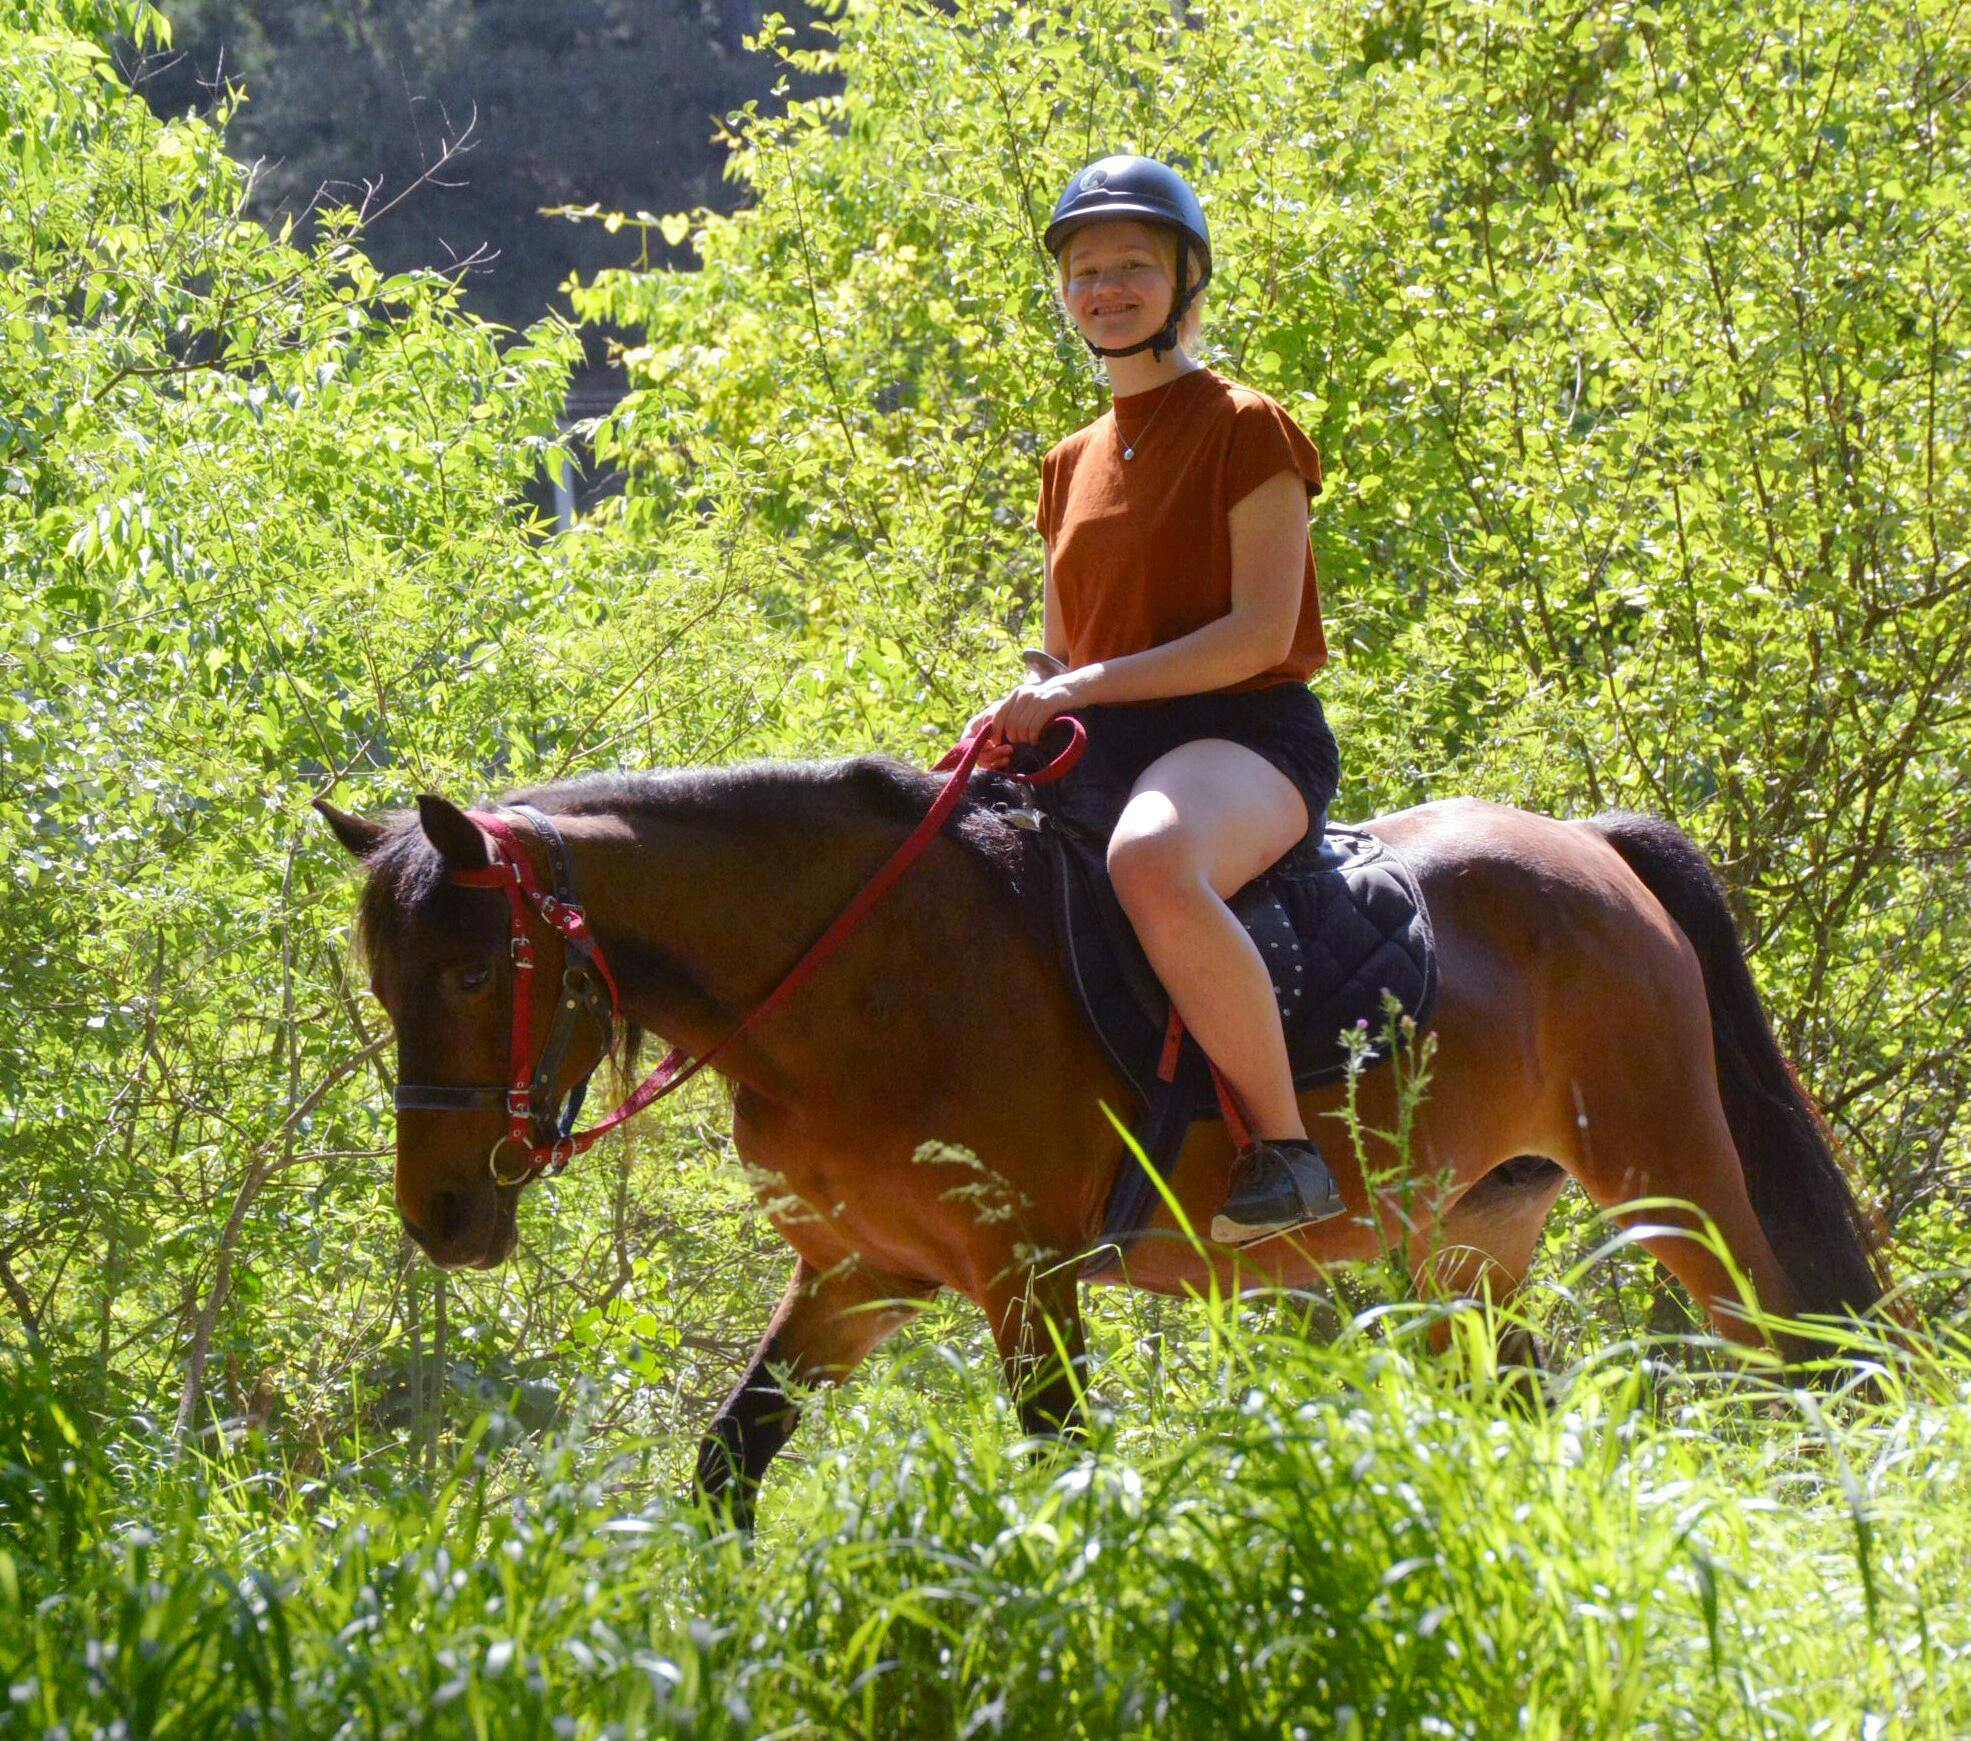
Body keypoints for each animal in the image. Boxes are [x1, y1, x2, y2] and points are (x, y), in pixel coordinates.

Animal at [315, 757, 1884, 1522]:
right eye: (385, 980)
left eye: (475, 972)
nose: (440, 1214)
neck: (860, 977)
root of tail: (1593, 849)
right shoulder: (858, 1276)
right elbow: (726, 1468)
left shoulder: (1026, 1279)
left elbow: (1066, 1473)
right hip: (1471, 1244)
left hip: (1671, 1184)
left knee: (1805, 1355)